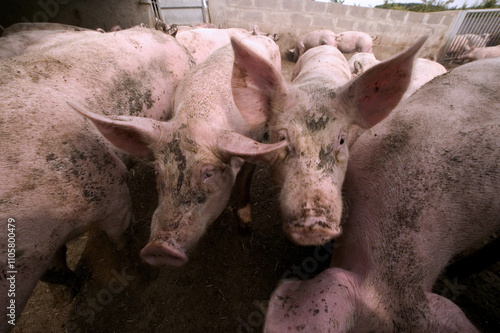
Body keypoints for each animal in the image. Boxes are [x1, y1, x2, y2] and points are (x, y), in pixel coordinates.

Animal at [0, 27, 193, 330]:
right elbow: (53, 268)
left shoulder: (111, 187)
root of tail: (158, 30)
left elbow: (122, 240)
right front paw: (64, 298)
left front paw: (143, 277)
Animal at [70, 33, 288, 268]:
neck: (195, 117)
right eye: (158, 172)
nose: (159, 247)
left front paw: (245, 228)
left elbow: (244, 181)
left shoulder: (252, 140)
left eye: (208, 173)